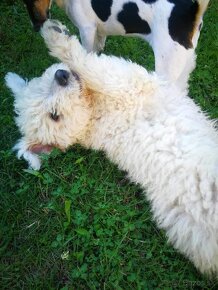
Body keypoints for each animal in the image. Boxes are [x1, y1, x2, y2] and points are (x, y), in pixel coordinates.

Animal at [5, 19, 218, 274]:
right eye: (54, 116)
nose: (61, 76)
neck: (94, 113)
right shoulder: (124, 82)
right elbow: (86, 61)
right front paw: (55, 36)